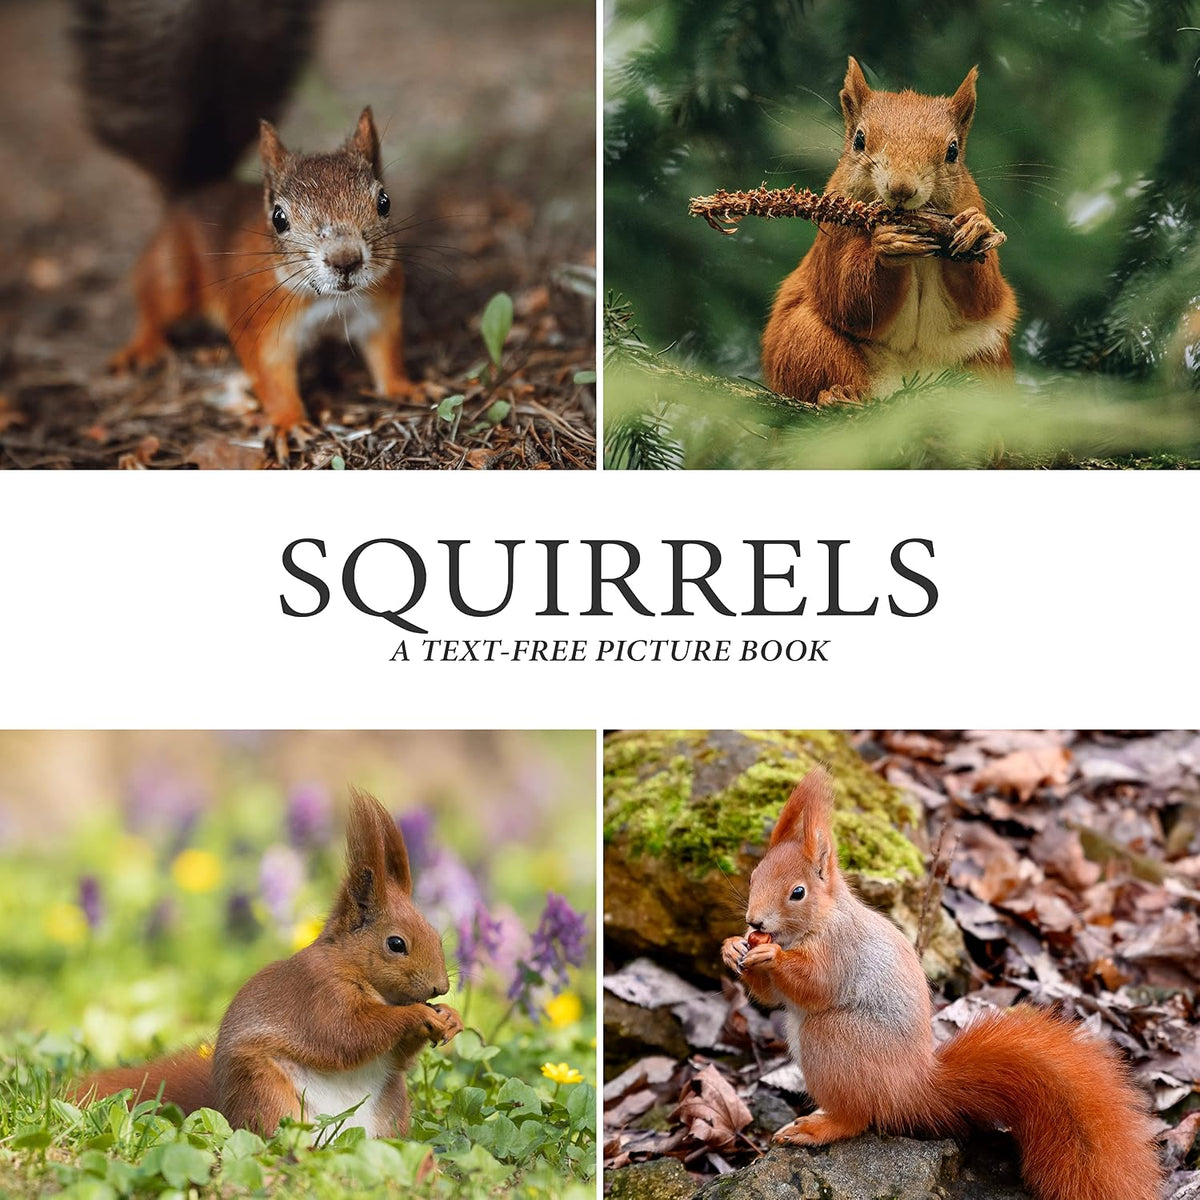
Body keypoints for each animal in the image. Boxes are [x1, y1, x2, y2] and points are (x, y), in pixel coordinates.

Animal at [74, 0, 416, 459]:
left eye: (384, 201)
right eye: (279, 218)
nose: (345, 261)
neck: (329, 302)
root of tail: (195, 188)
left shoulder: (379, 311)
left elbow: (385, 354)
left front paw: (406, 388)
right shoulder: (261, 325)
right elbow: (270, 375)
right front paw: (289, 422)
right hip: (176, 275)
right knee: (152, 300)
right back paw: (143, 345)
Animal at [75, 789, 463, 1138]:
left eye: (435, 933)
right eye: (396, 944)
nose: (440, 987)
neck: (352, 966)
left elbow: (397, 1057)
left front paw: (450, 1017)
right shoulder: (319, 994)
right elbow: (348, 1034)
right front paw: (418, 1014)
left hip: (391, 1105)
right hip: (264, 1087)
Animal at [721, 768, 1163, 1200]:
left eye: (798, 892)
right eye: (754, 876)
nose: (755, 922)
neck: (818, 923)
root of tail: (911, 1087)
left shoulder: (840, 952)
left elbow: (814, 986)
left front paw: (771, 956)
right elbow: (771, 997)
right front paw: (732, 948)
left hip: (832, 1039)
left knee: (857, 1118)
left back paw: (818, 1127)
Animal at [761, 58, 1019, 406]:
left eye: (952, 151)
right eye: (859, 140)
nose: (901, 188)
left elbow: (984, 296)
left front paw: (974, 229)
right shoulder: (832, 237)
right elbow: (848, 298)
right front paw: (889, 246)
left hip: (988, 362)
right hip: (805, 342)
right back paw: (838, 397)